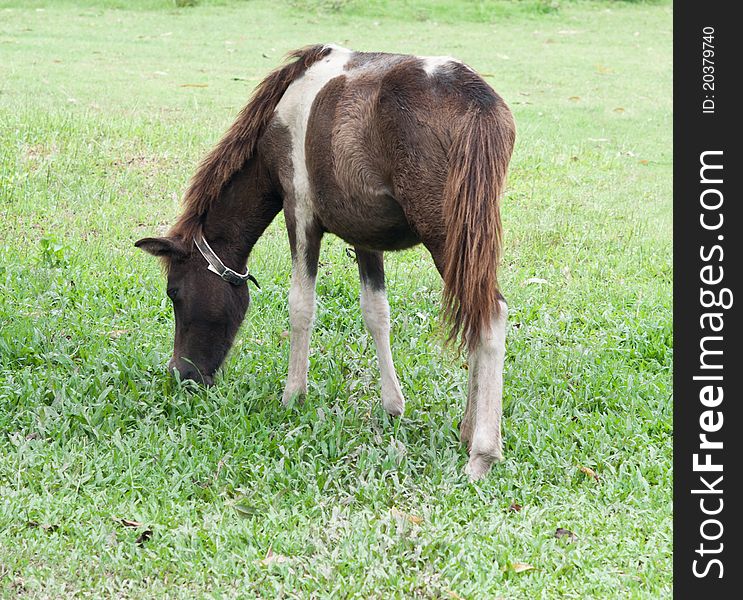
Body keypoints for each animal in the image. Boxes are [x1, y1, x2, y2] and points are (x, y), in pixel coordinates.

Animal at [135, 44, 516, 480]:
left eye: (174, 293)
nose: (180, 375)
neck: (279, 121)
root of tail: (478, 101)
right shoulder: (366, 236)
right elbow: (376, 313)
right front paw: (392, 405)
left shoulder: (299, 213)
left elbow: (301, 306)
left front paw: (292, 395)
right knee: (477, 315)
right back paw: (469, 428)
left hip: (447, 239)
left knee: (490, 316)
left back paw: (482, 452)